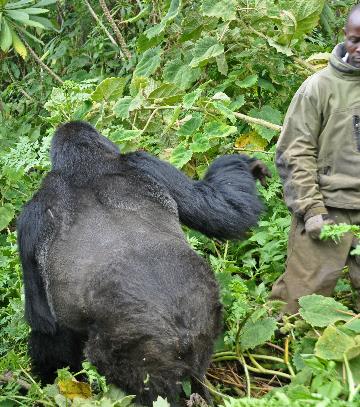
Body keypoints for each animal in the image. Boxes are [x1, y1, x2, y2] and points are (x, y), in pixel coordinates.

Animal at [18, 121, 268, 404]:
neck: (84, 163)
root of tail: (179, 333)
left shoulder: (31, 216)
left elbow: (44, 324)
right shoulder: (146, 162)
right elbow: (226, 210)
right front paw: (249, 167)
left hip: (134, 356)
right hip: (205, 326)